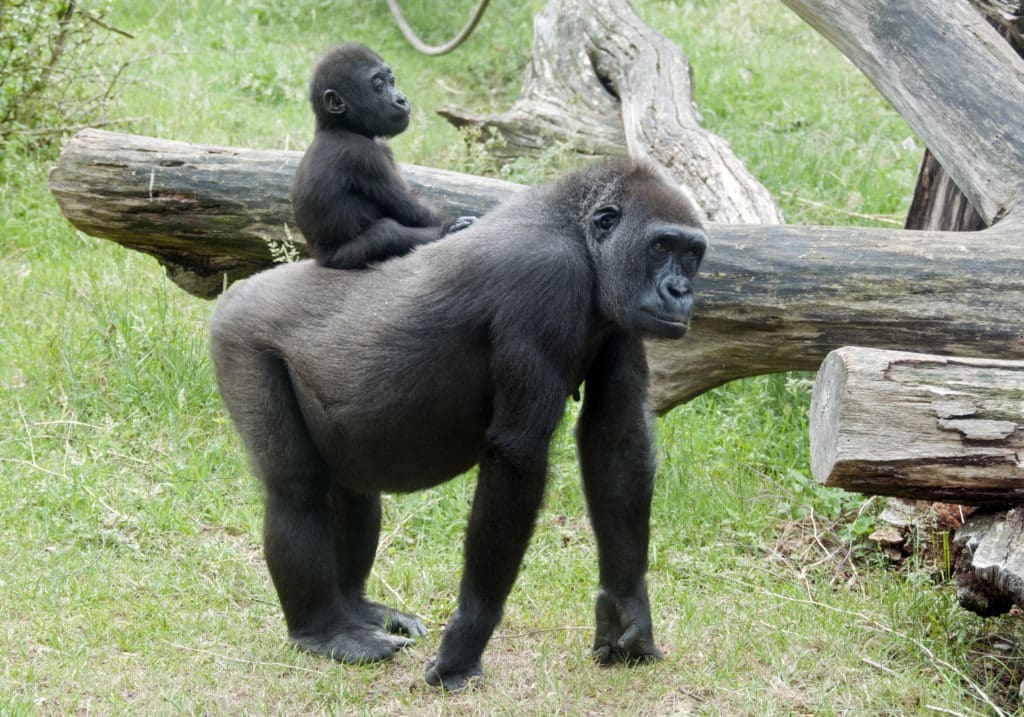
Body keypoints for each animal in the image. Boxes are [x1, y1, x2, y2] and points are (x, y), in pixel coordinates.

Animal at [207, 157, 704, 688]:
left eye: (692, 254)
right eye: (660, 246)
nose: (680, 292)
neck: (578, 234)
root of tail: (242, 289)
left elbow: (615, 438)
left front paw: (627, 607)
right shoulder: (545, 279)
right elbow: (518, 457)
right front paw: (469, 638)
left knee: (352, 486)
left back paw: (357, 608)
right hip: (240, 336)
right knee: (297, 490)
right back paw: (323, 630)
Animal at [290, 44, 468, 268]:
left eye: (392, 81)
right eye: (379, 85)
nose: (401, 99)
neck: (340, 126)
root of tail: (318, 259)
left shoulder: (382, 146)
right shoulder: (363, 155)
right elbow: (412, 209)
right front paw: (448, 226)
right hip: (340, 258)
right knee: (386, 234)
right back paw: (447, 232)